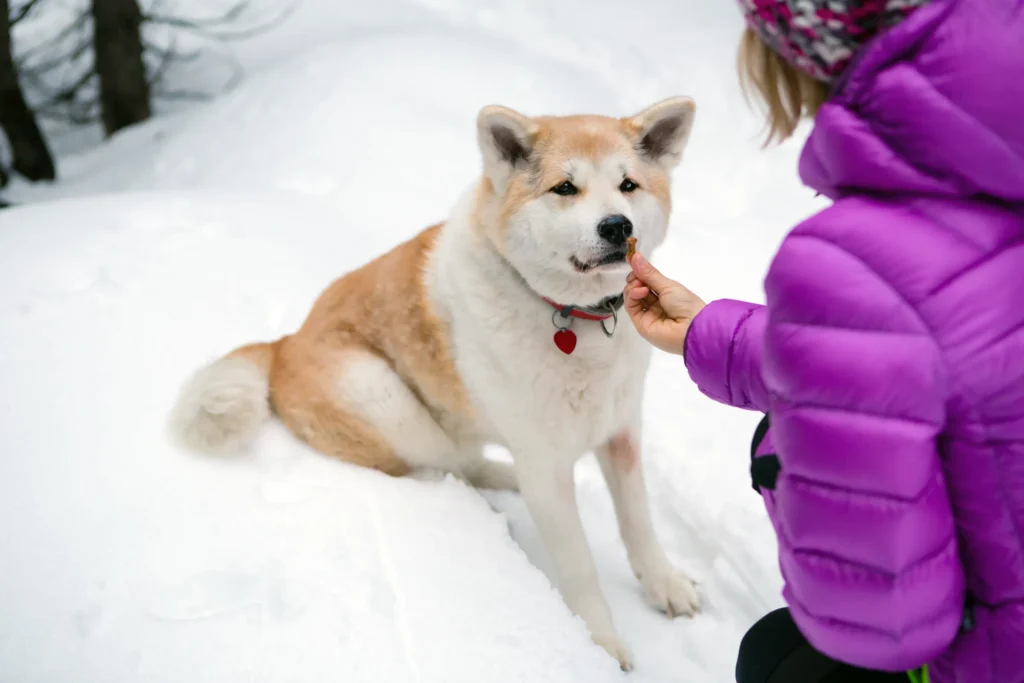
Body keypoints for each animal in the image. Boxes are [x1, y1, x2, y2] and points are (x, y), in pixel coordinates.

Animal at [174, 97, 704, 671]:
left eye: (628, 185)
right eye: (565, 188)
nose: (616, 226)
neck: (573, 319)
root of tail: (286, 342)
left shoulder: (621, 432)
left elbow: (638, 523)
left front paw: (664, 584)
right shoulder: (544, 461)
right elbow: (580, 567)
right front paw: (602, 644)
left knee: (468, 459)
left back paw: (501, 477)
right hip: (384, 396)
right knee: (437, 468)